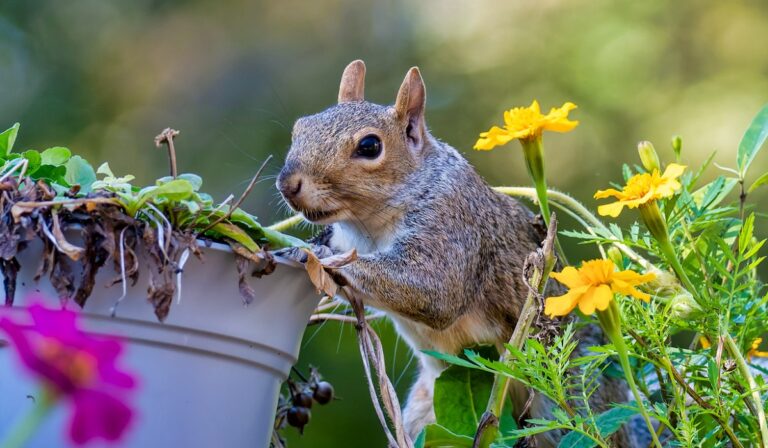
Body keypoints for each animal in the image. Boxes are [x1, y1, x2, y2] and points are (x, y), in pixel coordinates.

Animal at [276, 60, 636, 448]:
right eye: (300, 128)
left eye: (370, 146)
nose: (288, 184)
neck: (368, 227)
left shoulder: (453, 225)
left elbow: (433, 290)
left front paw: (311, 256)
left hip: (570, 400)